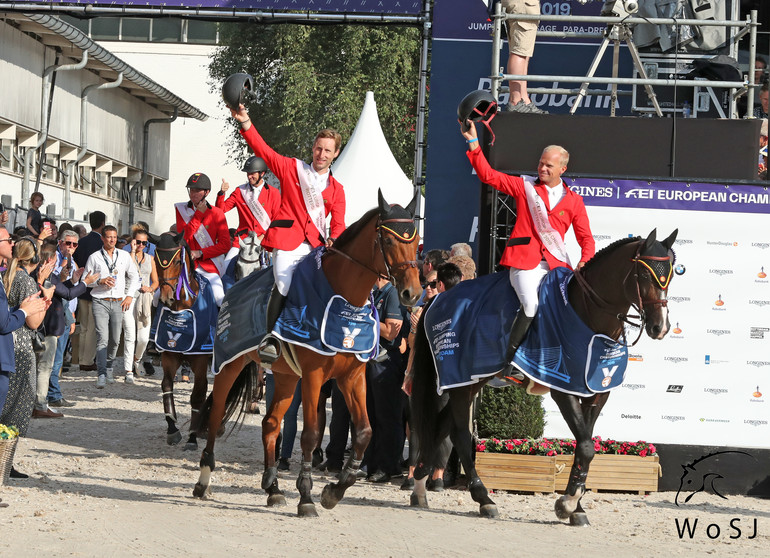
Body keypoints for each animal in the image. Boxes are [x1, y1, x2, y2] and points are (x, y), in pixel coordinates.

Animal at [150, 233, 212, 450]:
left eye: (178, 261)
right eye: (156, 261)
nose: (166, 298)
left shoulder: (201, 360)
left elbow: (197, 397)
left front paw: (192, 437)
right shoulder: (169, 355)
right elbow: (166, 387)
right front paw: (172, 429)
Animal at [192, 192, 420, 520]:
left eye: (416, 241)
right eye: (388, 241)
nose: (412, 294)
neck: (345, 298)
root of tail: (233, 291)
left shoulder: (352, 377)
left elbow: (364, 432)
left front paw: (335, 490)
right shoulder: (314, 376)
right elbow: (311, 434)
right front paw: (307, 496)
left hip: (286, 377)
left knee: (271, 424)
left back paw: (273, 489)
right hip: (230, 365)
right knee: (215, 416)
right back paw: (203, 480)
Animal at [412, 230, 676, 528]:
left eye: (671, 275)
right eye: (643, 275)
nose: (660, 327)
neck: (587, 315)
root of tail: (440, 298)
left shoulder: (596, 394)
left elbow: (584, 448)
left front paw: (576, 507)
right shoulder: (563, 388)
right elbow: (587, 447)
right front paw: (567, 504)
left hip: (470, 381)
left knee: (441, 428)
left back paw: (419, 487)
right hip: (460, 379)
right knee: (458, 433)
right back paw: (484, 499)